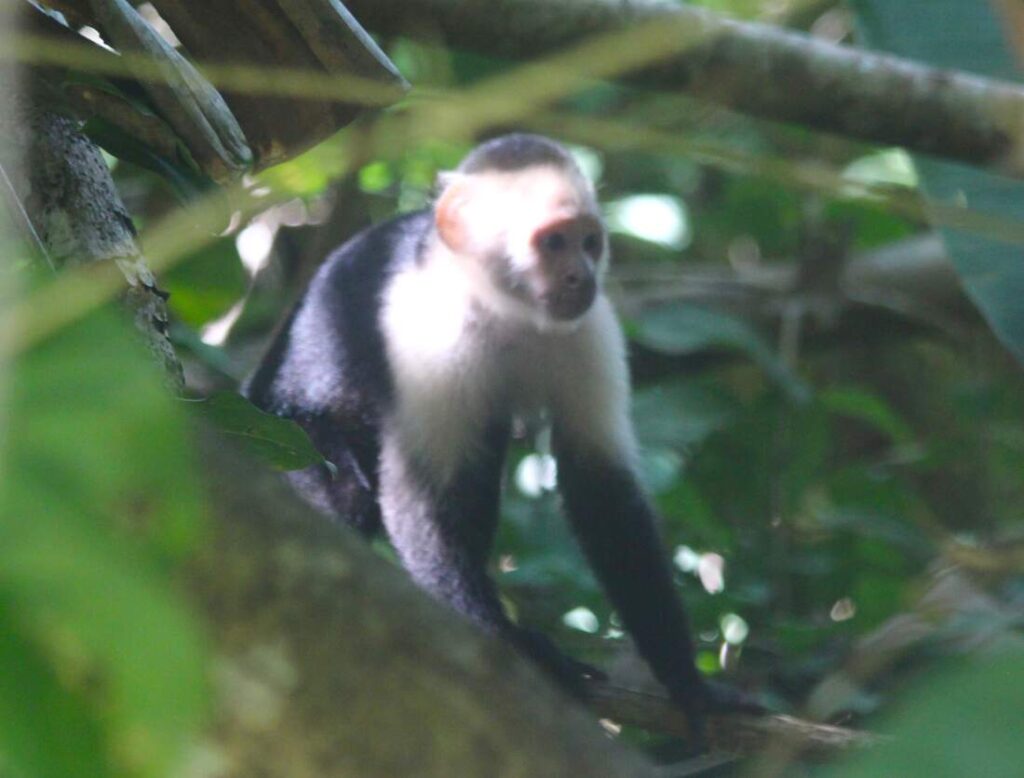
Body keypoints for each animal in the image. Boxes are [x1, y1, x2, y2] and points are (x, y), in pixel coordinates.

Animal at [243, 134, 749, 724]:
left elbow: (601, 489)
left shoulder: (590, 328)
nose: (582, 276)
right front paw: (511, 646)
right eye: (552, 243)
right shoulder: (430, 335)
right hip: (280, 432)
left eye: (589, 242)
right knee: (342, 486)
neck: (505, 308)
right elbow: (418, 497)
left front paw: (687, 680)